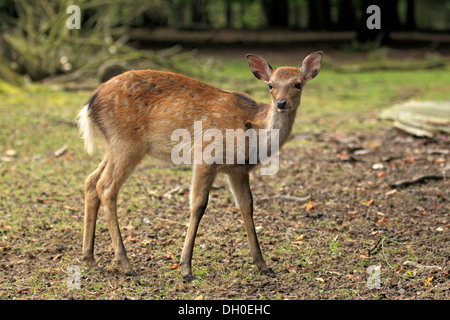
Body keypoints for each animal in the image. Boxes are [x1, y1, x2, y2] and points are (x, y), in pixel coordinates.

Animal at [77, 51, 324, 282]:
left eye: (298, 84)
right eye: (270, 85)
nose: (281, 103)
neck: (253, 129)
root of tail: (90, 103)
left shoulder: (238, 170)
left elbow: (247, 205)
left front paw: (263, 265)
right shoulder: (206, 156)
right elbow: (198, 205)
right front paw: (186, 268)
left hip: (115, 145)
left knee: (91, 181)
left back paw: (90, 259)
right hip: (126, 143)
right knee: (106, 187)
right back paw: (126, 264)